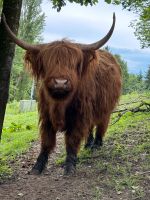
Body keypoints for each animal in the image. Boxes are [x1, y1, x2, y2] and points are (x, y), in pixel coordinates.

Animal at [2, 12, 122, 175]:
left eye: (73, 64)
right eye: (48, 62)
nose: (60, 82)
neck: (59, 103)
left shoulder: (79, 116)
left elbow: (72, 141)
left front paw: (70, 166)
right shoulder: (46, 116)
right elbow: (46, 142)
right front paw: (37, 167)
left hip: (105, 106)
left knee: (102, 123)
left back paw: (96, 144)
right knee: (91, 126)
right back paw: (88, 144)